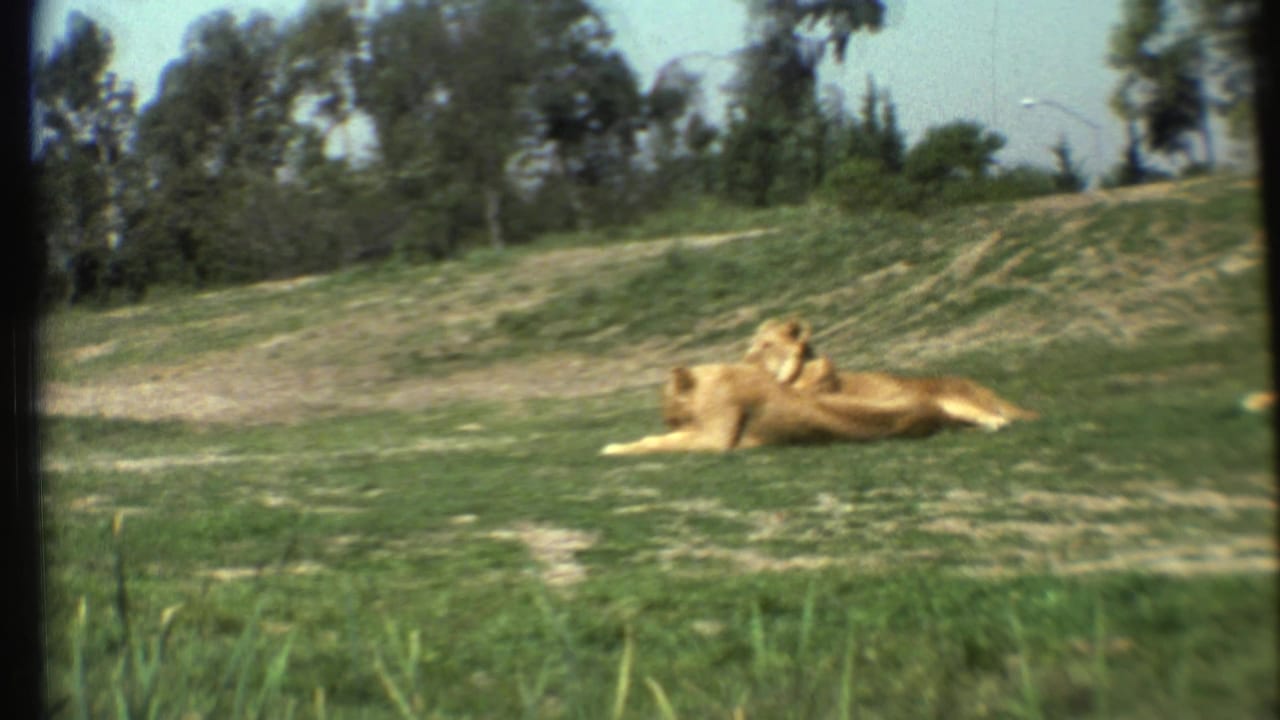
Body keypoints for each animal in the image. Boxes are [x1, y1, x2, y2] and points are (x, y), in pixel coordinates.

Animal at [744, 318, 1038, 431]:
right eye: (753, 343)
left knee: (999, 419)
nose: (745, 359)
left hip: (952, 399)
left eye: (766, 345)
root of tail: (980, 387)